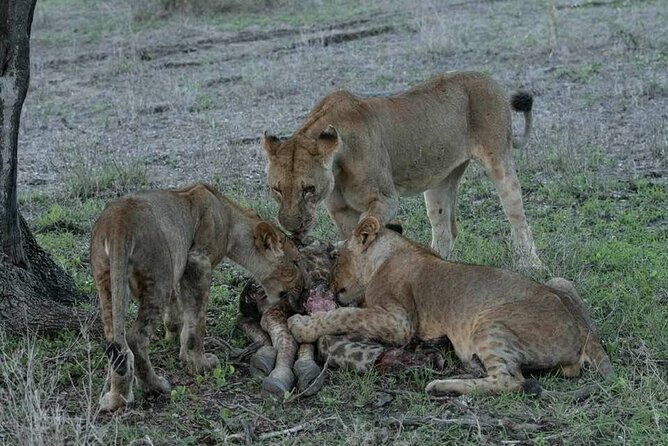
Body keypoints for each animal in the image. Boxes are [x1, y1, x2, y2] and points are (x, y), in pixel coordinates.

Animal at [90, 184, 304, 412]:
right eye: (295, 262)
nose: (302, 286)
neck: (229, 217)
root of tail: (118, 223)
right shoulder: (197, 261)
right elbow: (197, 321)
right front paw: (199, 364)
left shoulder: (178, 267)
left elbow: (178, 311)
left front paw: (174, 339)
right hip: (157, 279)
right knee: (135, 338)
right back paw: (154, 386)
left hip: (108, 282)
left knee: (116, 343)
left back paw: (116, 398)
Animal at [288, 216, 612, 394]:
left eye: (336, 256)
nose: (330, 285)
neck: (393, 250)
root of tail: (585, 333)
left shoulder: (399, 322)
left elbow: (345, 314)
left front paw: (301, 325)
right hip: (561, 283)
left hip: (489, 322)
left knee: (511, 381)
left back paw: (441, 386)